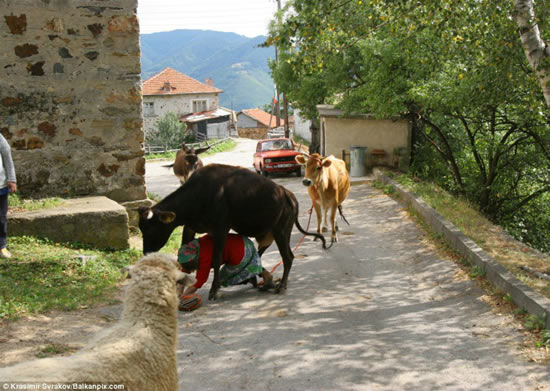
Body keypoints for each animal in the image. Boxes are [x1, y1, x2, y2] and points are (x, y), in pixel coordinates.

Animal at [137, 164, 328, 302]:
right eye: (141, 228)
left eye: (152, 228)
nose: (145, 252)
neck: (198, 195)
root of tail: (287, 194)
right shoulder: (190, 227)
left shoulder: (221, 228)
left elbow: (216, 259)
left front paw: (214, 290)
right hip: (268, 235)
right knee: (261, 255)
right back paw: (262, 281)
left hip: (282, 230)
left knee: (288, 257)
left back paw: (280, 286)